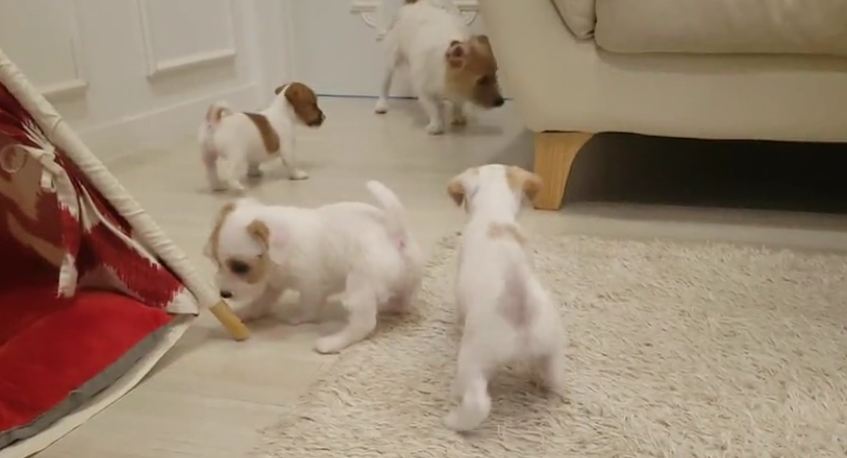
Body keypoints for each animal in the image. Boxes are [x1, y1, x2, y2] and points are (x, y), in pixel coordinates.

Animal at [376, 0, 504, 134]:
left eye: (496, 75)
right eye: (482, 80)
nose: (501, 101)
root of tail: (415, 3)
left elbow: (458, 103)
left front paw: (457, 116)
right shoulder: (424, 91)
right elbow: (433, 109)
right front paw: (436, 125)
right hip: (390, 62)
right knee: (384, 85)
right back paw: (381, 104)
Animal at [440, 165, 568, 432]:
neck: (494, 214)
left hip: (472, 362)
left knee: (477, 402)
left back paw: (454, 414)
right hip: (552, 352)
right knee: (555, 381)